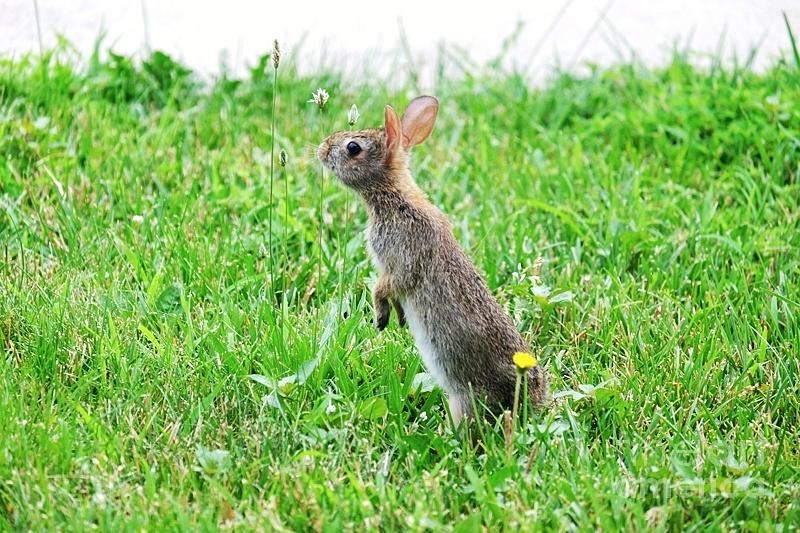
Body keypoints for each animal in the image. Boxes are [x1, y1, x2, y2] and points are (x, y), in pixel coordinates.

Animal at [318, 94, 552, 420]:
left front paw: (380, 317)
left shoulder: (402, 257)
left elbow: (386, 285)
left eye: (353, 148)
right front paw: (398, 318)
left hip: (465, 399)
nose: (321, 149)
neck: (392, 196)